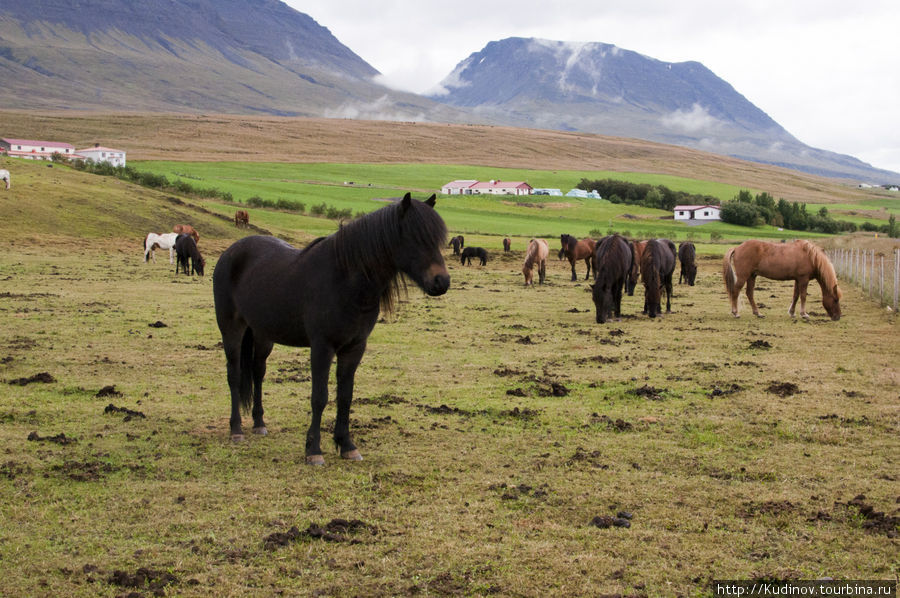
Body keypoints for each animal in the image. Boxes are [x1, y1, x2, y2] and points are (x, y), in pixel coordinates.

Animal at [211, 195, 450, 466]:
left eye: (437, 240)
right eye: (414, 237)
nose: (442, 282)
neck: (345, 281)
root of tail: (230, 253)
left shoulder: (354, 347)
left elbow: (345, 396)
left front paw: (347, 445)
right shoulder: (322, 347)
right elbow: (320, 396)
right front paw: (313, 450)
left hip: (262, 335)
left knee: (258, 372)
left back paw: (259, 423)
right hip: (231, 330)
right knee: (234, 374)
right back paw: (236, 430)